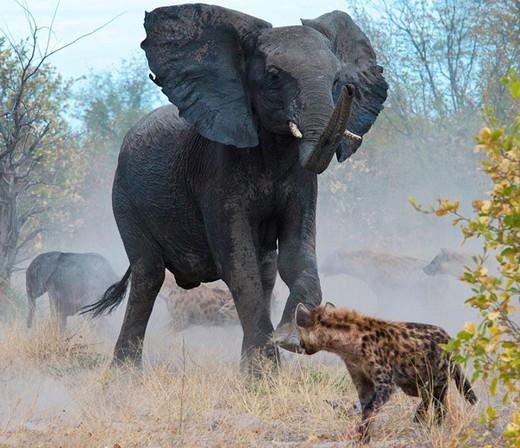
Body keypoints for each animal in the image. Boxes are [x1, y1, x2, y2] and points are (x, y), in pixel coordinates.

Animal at [84, 3, 386, 370]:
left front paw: (286, 340)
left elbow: (296, 254)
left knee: (266, 271)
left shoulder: (302, 184)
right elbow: (238, 265)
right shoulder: (217, 173)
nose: (348, 92)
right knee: (148, 275)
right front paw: (264, 369)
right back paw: (126, 372)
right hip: (124, 198)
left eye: (338, 79)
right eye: (274, 76)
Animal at [294, 302, 478, 442]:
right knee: (431, 397)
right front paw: (364, 437)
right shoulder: (360, 377)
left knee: (438, 401)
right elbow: (366, 406)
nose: (300, 346)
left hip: (438, 375)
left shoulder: (386, 380)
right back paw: (421, 418)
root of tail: (449, 337)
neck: (349, 348)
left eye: (300, 335)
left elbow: (371, 406)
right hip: (418, 382)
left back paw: (431, 423)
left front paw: (360, 436)